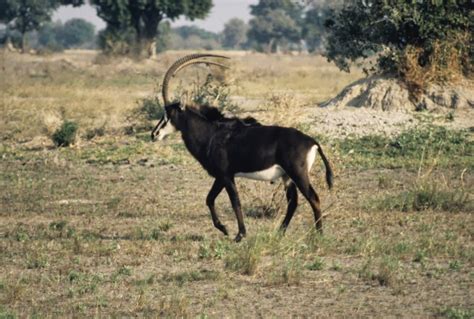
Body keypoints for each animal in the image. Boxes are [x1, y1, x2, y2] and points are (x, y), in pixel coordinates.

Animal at [152, 54, 334, 242]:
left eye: (169, 114)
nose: (154, 134)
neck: (212, 133)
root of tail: (312, 141)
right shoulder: (221, 176)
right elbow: (209, 199)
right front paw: (224, 229)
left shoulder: (225, 175)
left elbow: (234, 201)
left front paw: (239, 234)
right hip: (287, 177)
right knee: (293, 202)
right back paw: (280, 233)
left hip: (298, 174)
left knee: (314, 198)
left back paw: (318, 235)